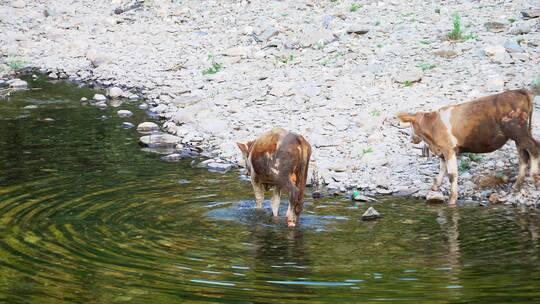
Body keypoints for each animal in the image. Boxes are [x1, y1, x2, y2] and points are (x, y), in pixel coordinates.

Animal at [396, 89, 540, 205]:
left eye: (410, 126)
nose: (411, 139)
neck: (432, 125)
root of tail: (518, 91)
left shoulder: (448, 149)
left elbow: (452, 175)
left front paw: (452, 199)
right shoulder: (444, 150)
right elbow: (442, 169)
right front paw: (435, 186)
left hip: (517, 130)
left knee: (534, 147)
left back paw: (535, 178)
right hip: (519, 135)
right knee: (523, 156)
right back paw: (517, 186)